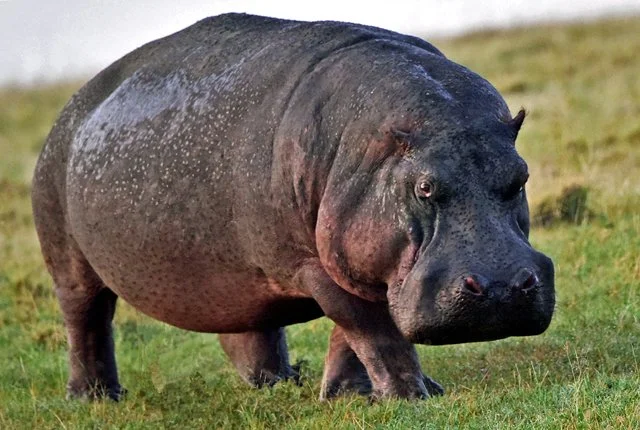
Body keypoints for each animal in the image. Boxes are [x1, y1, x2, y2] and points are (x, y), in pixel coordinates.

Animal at [32, 13, 555, 401]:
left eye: (521, 176)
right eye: (424, 188)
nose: (501, 286)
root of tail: (71, 108)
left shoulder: (353, 263)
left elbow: (352, 337)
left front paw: (351, 395)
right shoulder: (315, 265)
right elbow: (372, 330)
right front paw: (410, 396)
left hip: (234, 278)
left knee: (250, 329)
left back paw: (280, 382)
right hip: (68, 258)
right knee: (86, 320)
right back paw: (95, 398)